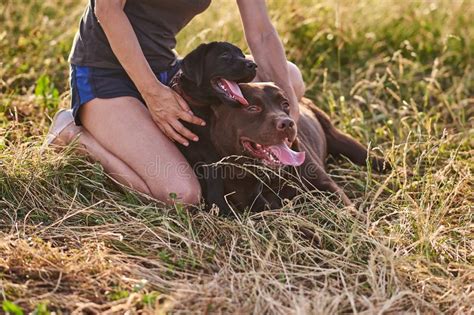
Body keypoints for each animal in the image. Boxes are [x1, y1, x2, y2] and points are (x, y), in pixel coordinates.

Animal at [171, 40, 256, 211]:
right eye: (225, 56)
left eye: (242, 55)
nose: (254, 65)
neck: (199, 107)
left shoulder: (214, 154)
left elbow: (217, 183)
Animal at [209, 83, 386, 212]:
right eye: (252, 108)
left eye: (285, 104)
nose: (287, 123)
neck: (273, 177)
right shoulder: (260, 207)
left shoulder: (327, 186)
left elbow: (349, 211)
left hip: (340, 140)